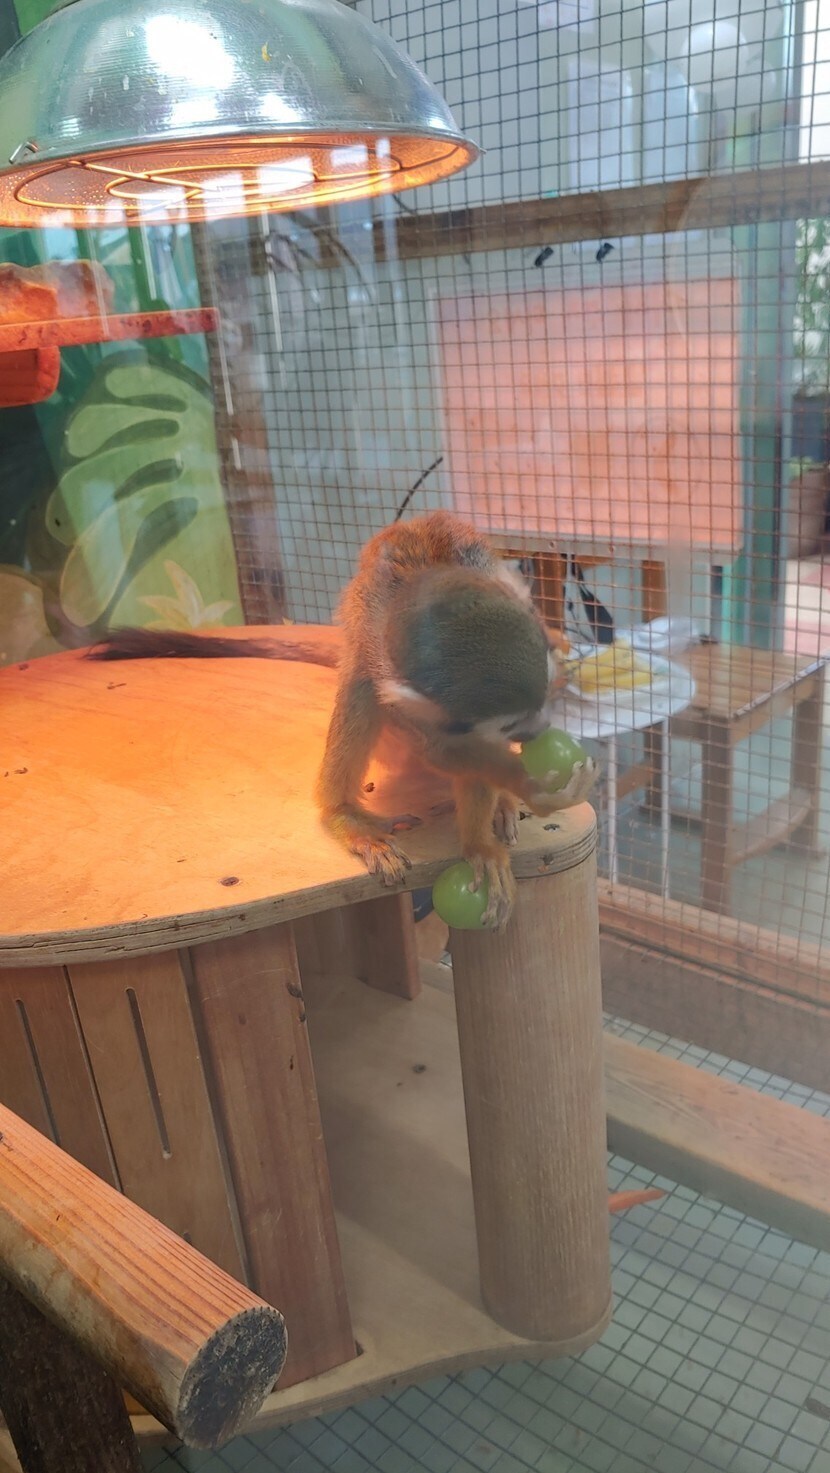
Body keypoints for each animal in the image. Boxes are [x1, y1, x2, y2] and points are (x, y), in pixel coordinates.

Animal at [89, 511, 597, 928]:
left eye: (538, 710)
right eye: (513, 725)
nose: (535, 731)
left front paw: (481, 842)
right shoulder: (408, 685)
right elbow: (443, 747)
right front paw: (524, 789)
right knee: (360, 687)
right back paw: (341, 814)